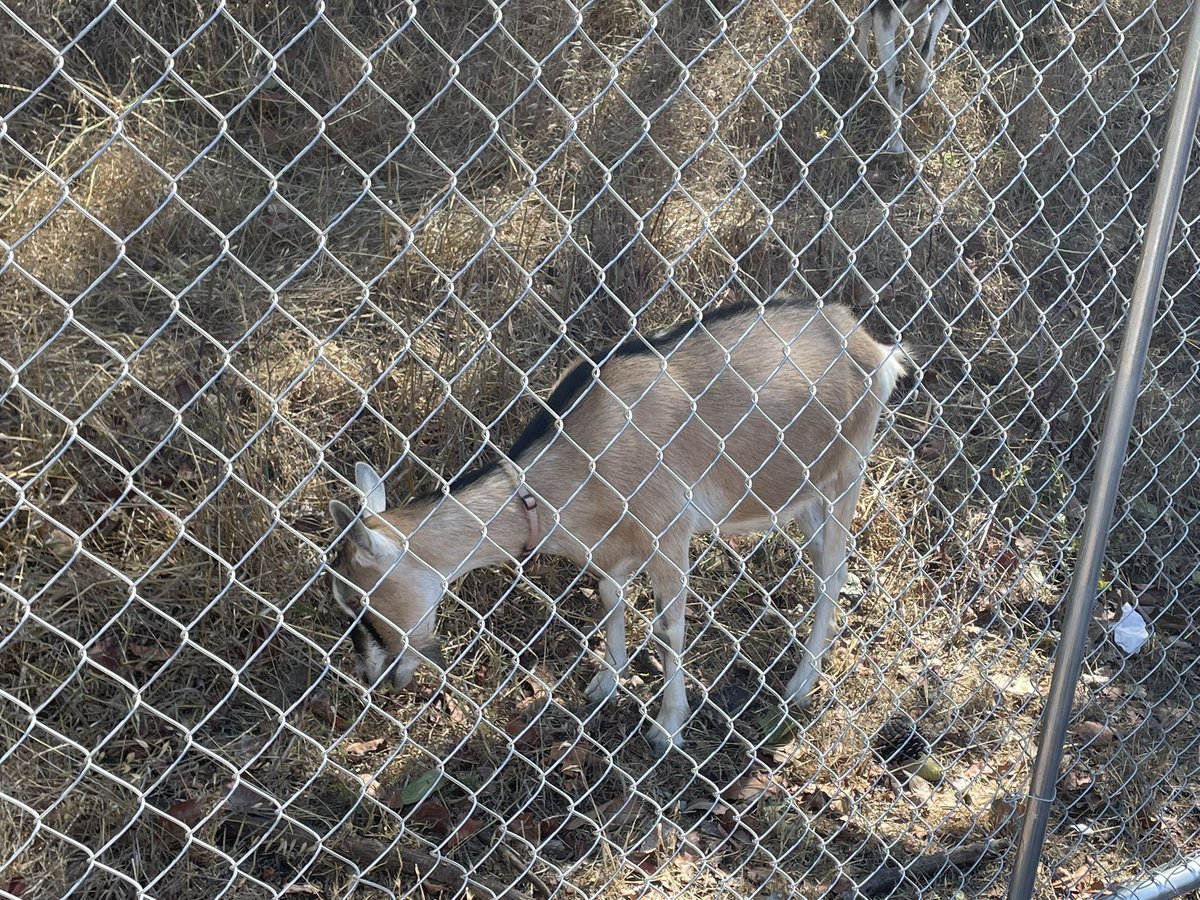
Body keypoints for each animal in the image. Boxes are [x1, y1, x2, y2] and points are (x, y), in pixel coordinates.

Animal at [327, 299, 907, 752]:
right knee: (822, 560)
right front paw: (605, 681)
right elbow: (609, 599)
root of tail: (871, 347)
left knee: (832, 571)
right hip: (805, 490)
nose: (370, 678)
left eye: (358, 602)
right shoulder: (610, 547)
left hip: (848, 469)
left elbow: (671, 629)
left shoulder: (669, 532)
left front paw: (667, 728)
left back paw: (800, 685)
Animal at [856, 0, 953, 153]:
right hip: (942, 7)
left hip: (885, 19)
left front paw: (861, 58)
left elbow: (864, 18)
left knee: (897, 85)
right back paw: (919, 92)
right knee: (926, 50)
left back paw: (895, 144)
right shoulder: (922, 10)